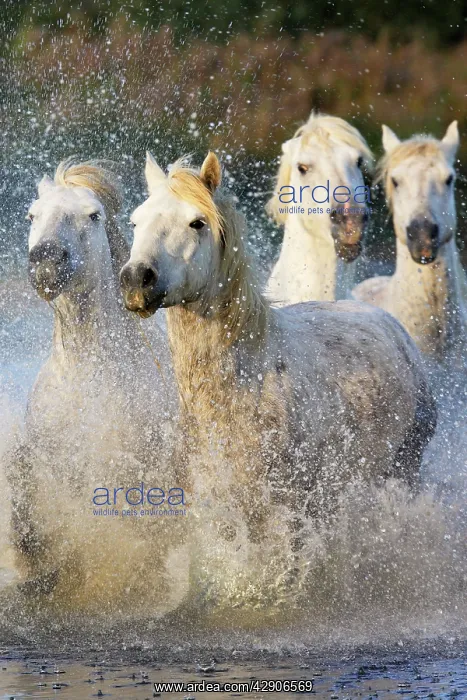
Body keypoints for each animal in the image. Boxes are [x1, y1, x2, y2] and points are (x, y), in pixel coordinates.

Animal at [120, 151, 436, 549]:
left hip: (404, 470)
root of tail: (390, 322)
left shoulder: (283, 519)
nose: (135, 279)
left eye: (197, 223)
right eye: (136, 221)